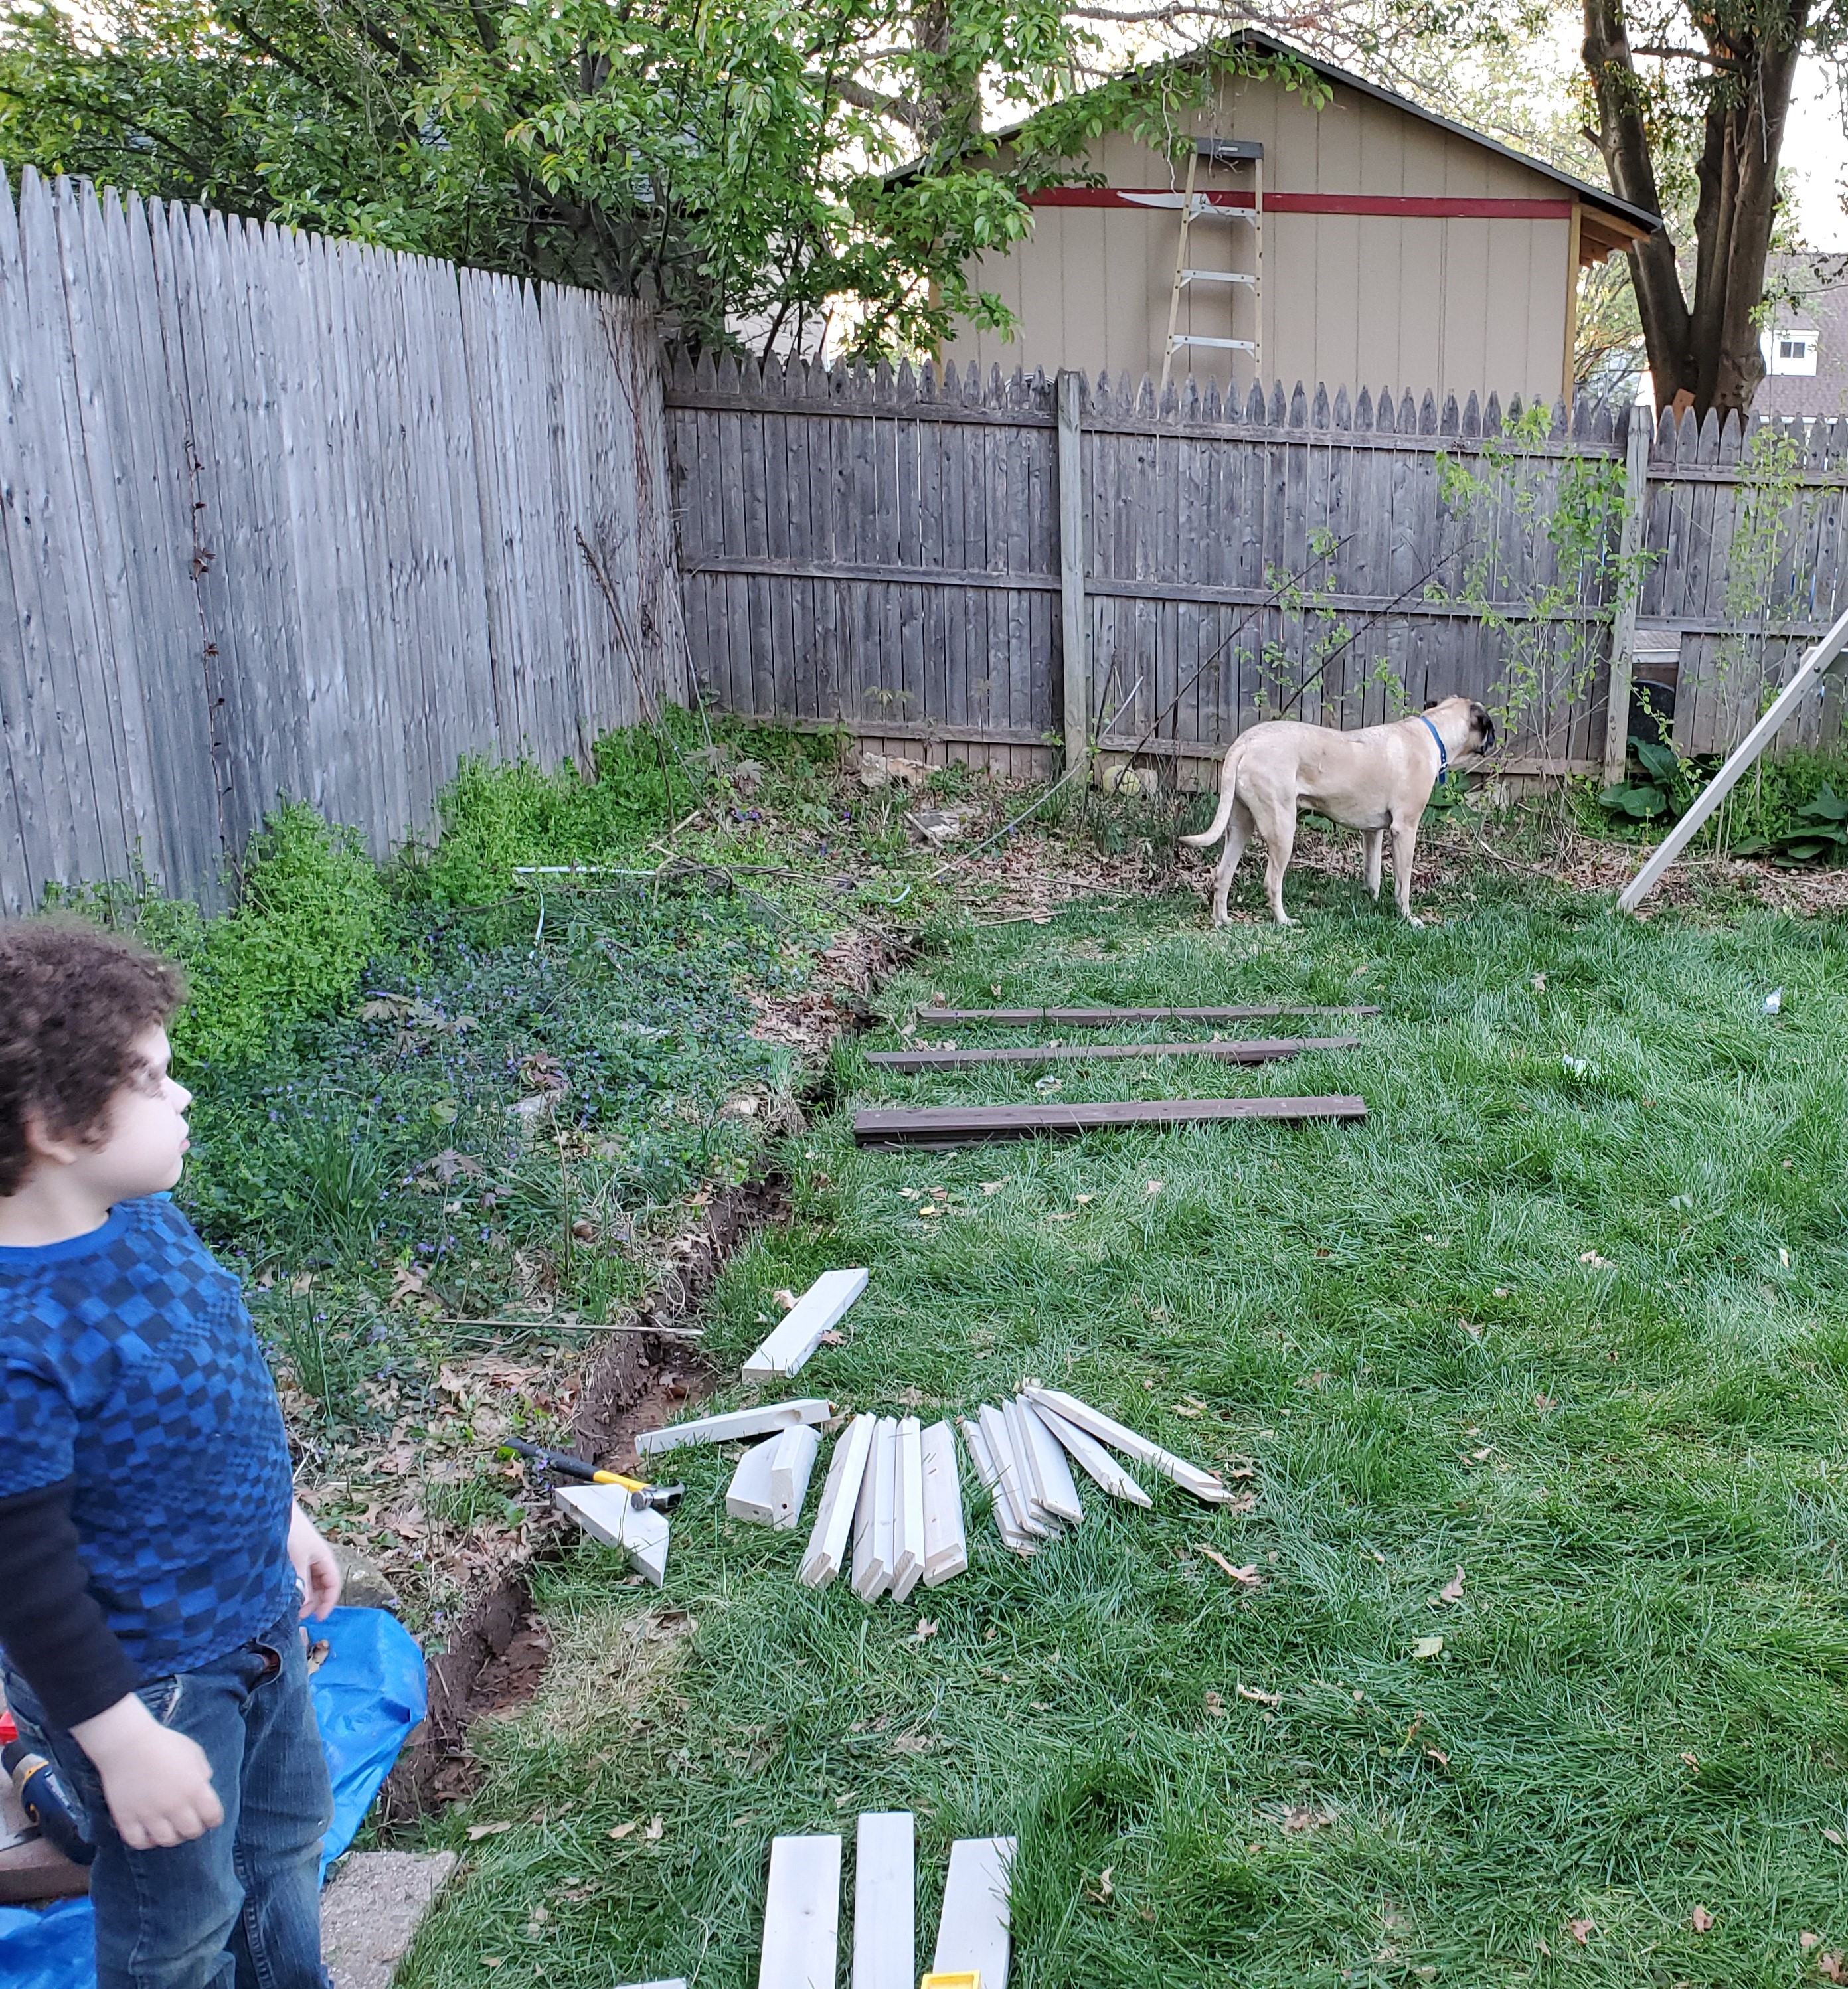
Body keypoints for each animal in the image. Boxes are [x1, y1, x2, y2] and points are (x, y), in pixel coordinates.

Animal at [1185, 696, 1495, 927]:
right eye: (1489, 728)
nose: (1495, 741)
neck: (1433, 734)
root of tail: (1245, 741)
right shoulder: (1405, 829)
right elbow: (1403, 883)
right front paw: (1408, 918)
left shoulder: (1373, 832)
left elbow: (1373, 875)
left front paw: (1372, 903)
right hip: (1282, 828)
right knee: (1271, 882)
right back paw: (1284, 921)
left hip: (1241, 824)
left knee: (1222, 876)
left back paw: (1223, 921)